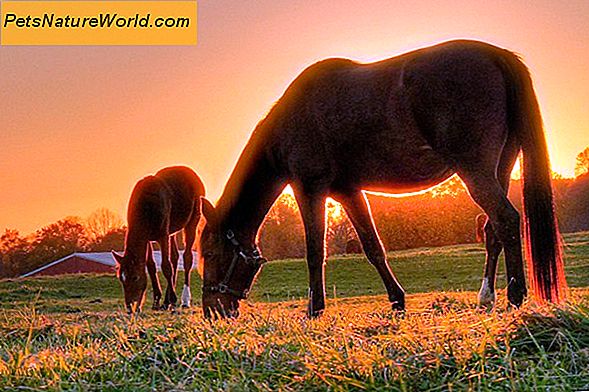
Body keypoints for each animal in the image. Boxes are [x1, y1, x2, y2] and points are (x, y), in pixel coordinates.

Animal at [112, 165, 204, 312]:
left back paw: (184, 300)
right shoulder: (148, 239)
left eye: (135, 277)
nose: (130, 307)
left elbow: (166, 267)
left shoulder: (162, 235)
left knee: (187, 257)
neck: (146, 208)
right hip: (172, 230)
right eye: (121, 278)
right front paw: (157, 301)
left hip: (193, 219)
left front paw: (173, 299)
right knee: (175, 257)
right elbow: (151, 265)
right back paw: (166, 302)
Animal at [200, 39, 568, 318]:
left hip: (475, 172)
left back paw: (516, 296)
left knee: (506, 220)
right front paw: (397, 301)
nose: (212, 311)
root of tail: (497, 56)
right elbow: (373, 247)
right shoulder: (348, 192)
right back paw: (486, 296)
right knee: (492, 229)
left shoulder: (309, 188)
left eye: (209, 253)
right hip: (500, 168)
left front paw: (315, 310)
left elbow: (315, 252)